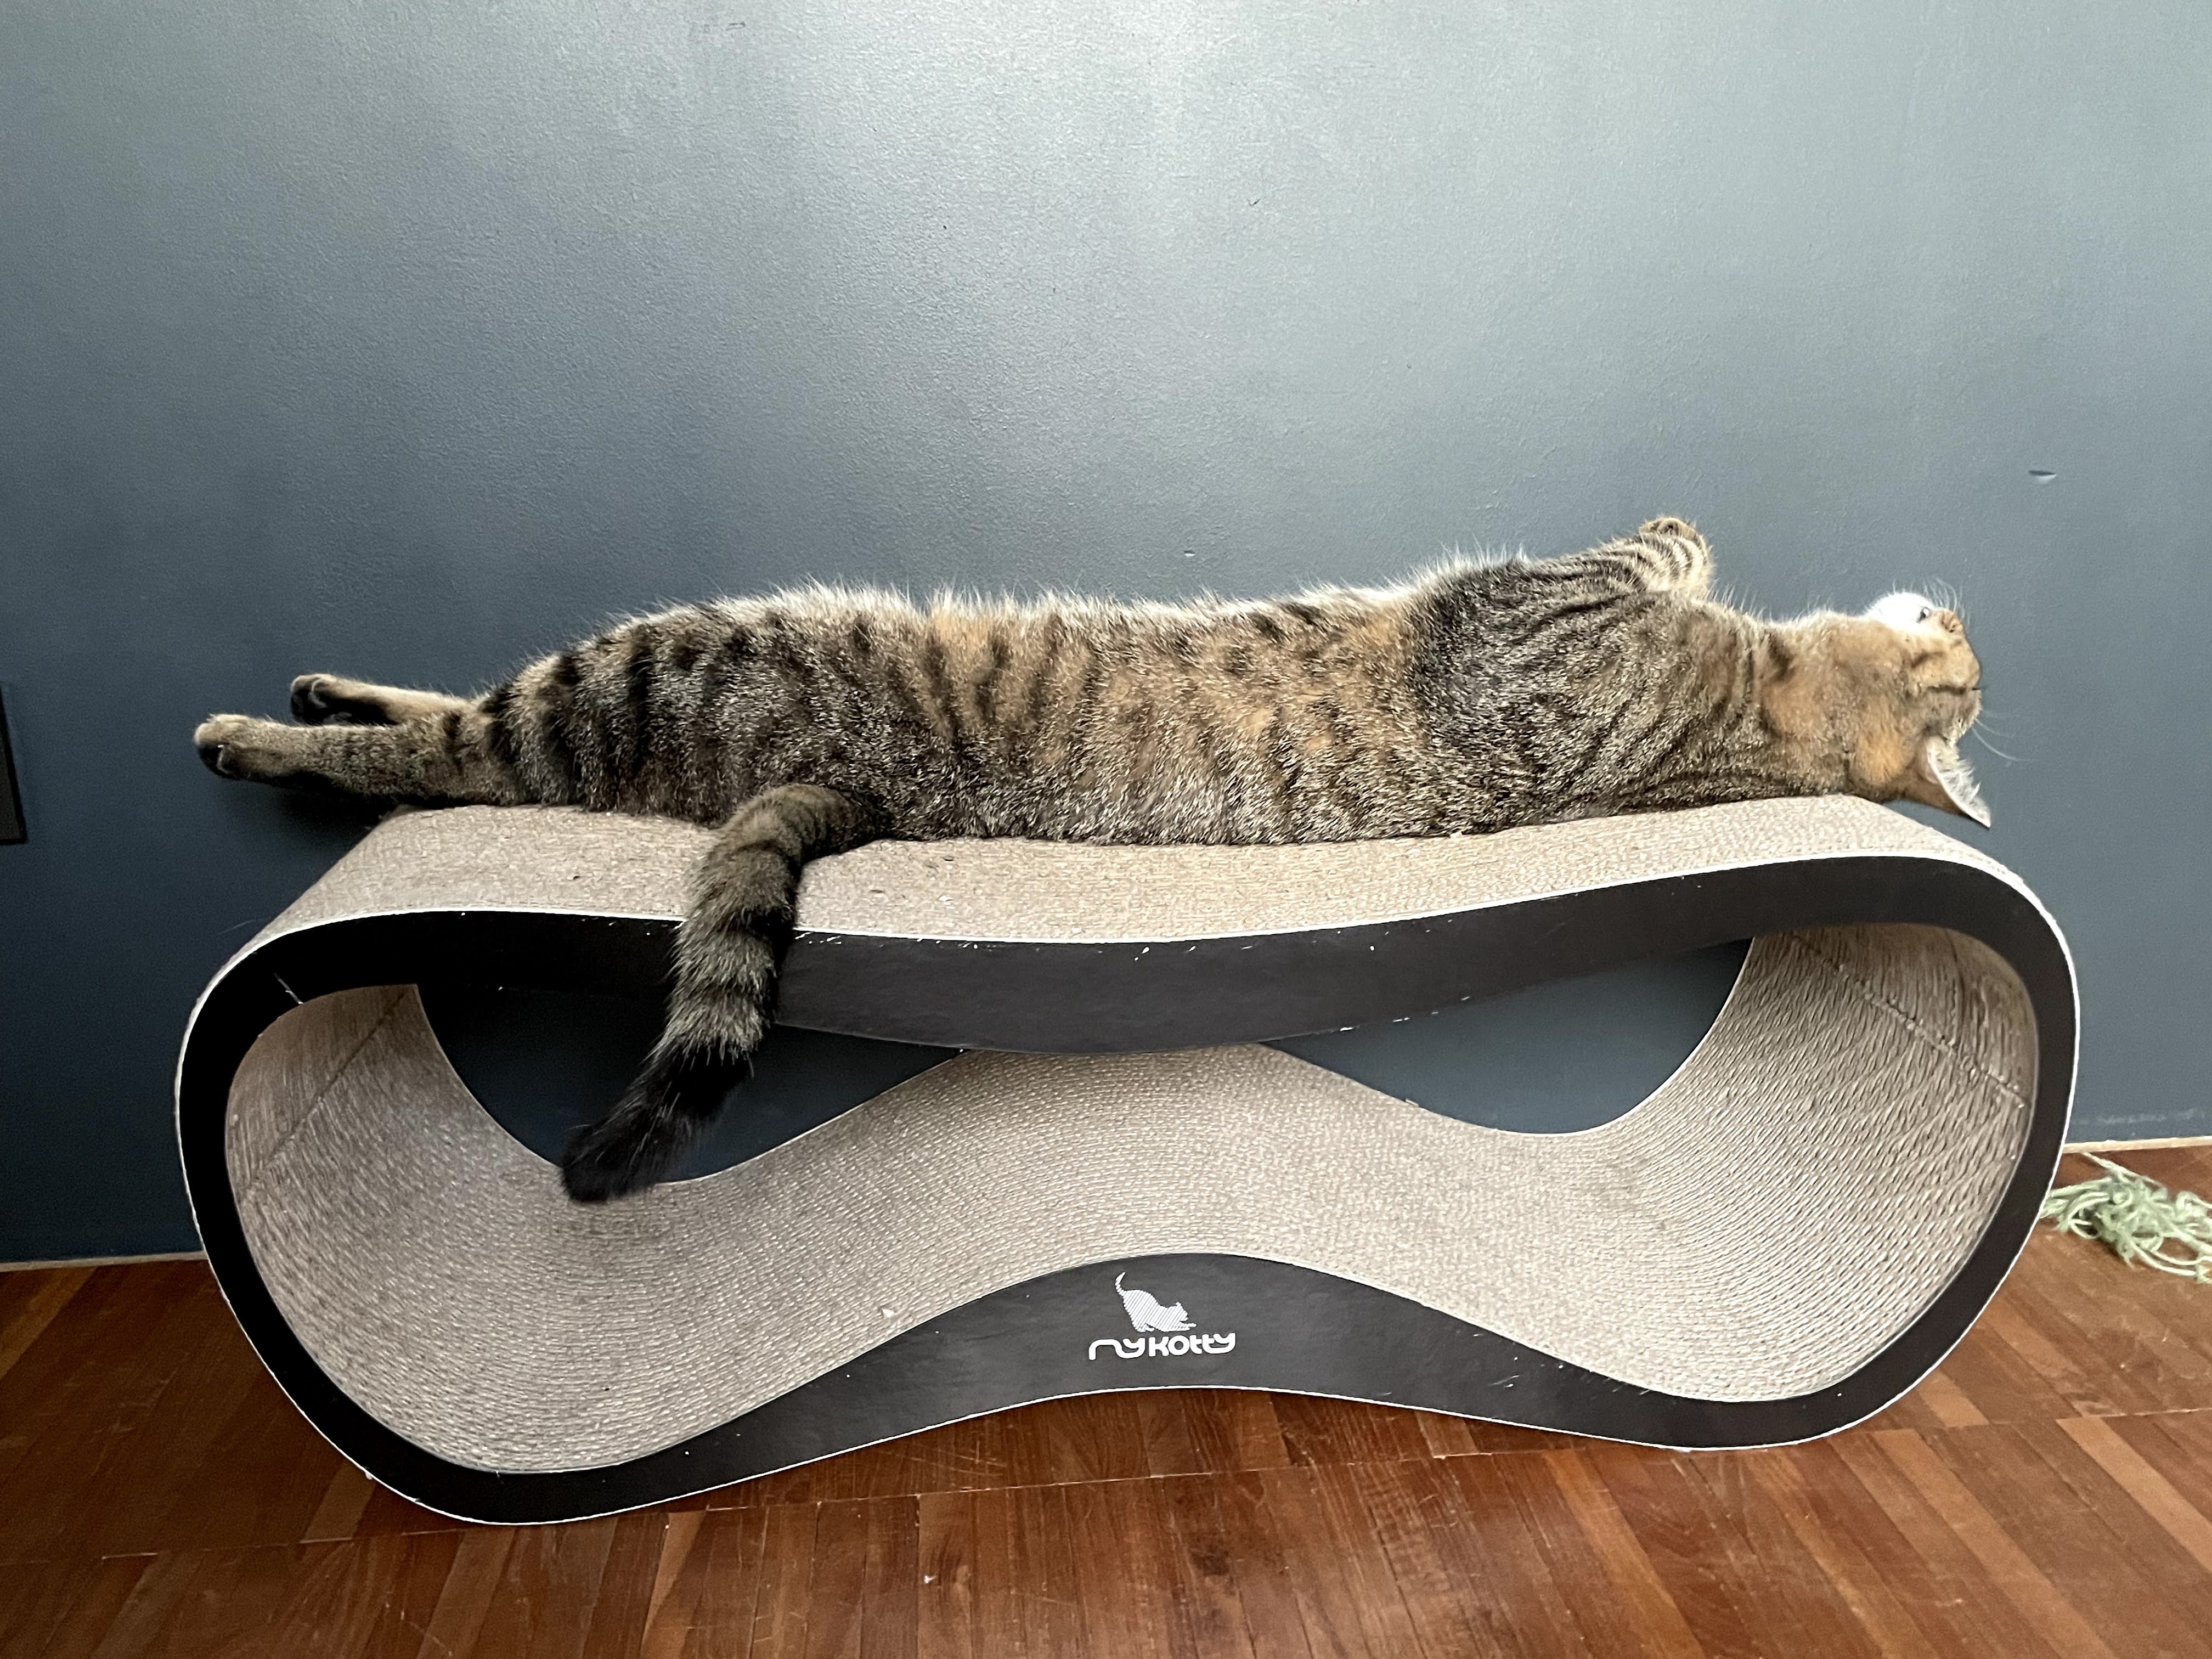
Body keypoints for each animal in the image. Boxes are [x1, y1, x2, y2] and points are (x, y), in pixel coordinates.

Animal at [194, 518, 1987, 1203]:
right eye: (1963, 644)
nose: (1961, 600)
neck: (1750, 730)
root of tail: (855, 786)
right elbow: (1665, 549)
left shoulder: (1530, 620)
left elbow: (1643, 547)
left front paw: (1687, 542)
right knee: (438, 716)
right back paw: (318, 694)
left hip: (641, 671)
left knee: (449, 748)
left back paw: (265, 734)